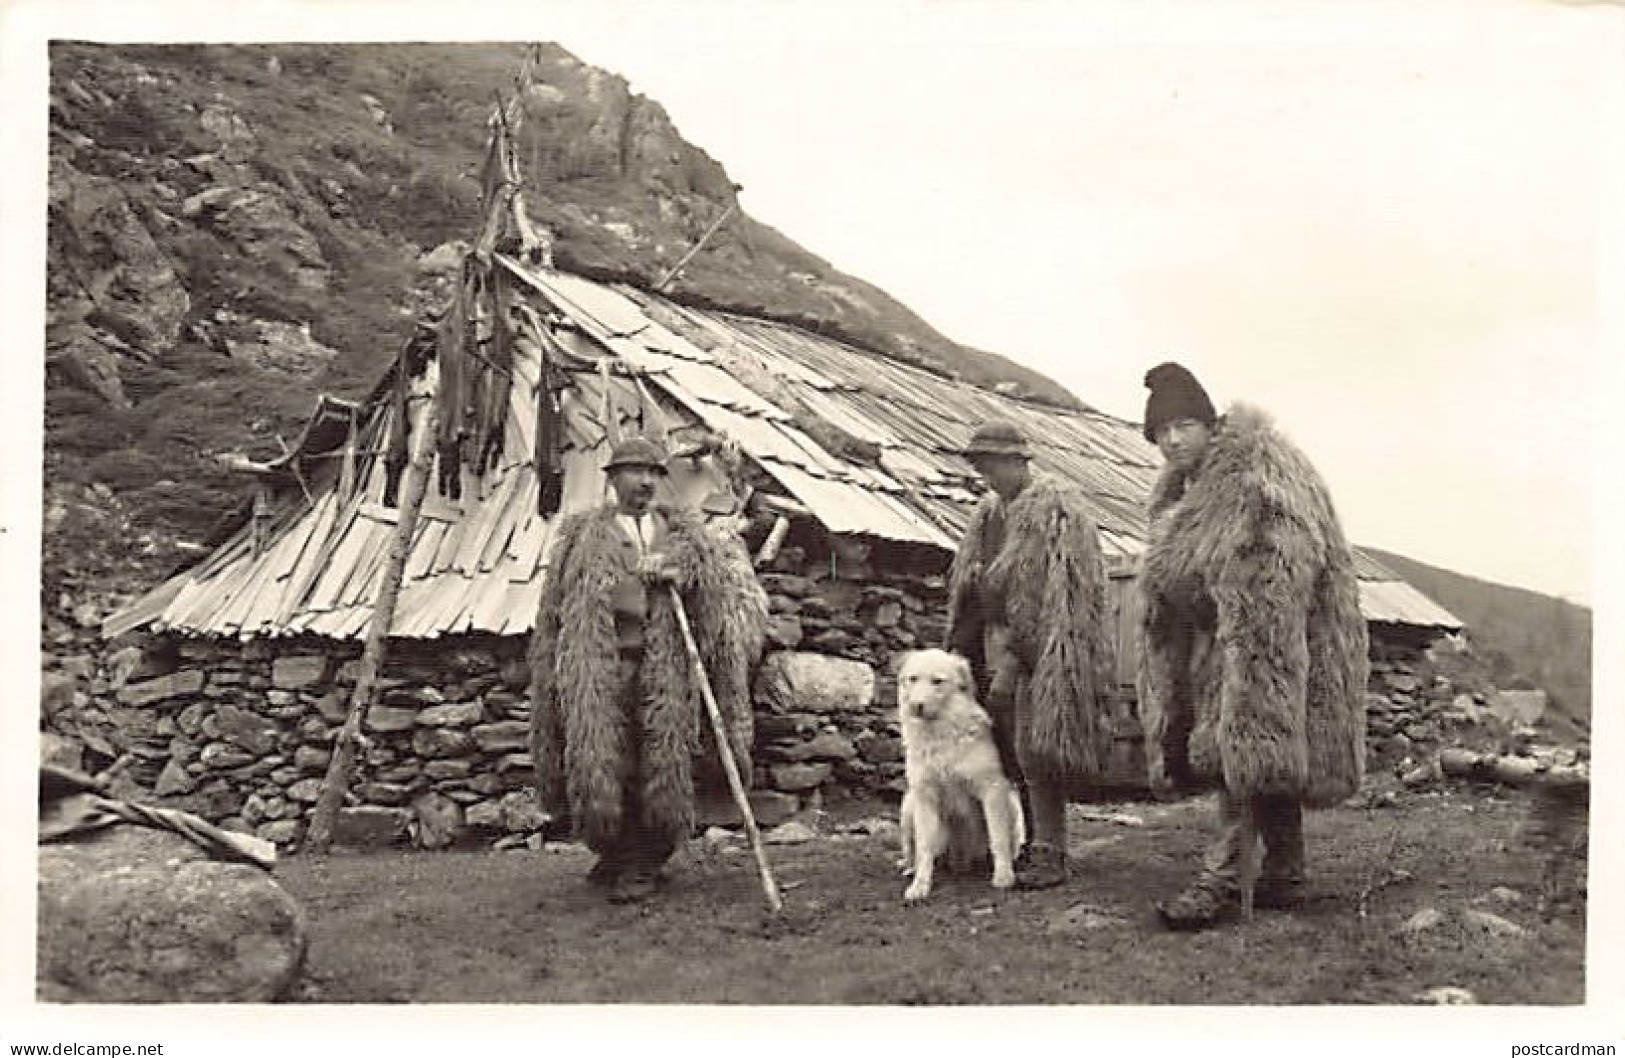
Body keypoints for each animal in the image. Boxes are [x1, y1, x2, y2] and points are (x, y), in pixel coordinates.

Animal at [897, 650, 1020, 903]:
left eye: (937, 681)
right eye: (913, 679)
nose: (916, 706)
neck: (941, 734)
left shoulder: (992, 789)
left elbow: (999, 838)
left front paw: (1004, 875)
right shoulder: (924, 796)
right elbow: (924, 847)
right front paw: (920, 886)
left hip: (1011, 804)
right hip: (907, 809)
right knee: (912, 850)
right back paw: (913, 868)